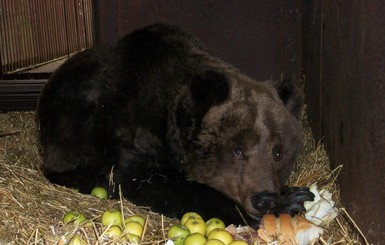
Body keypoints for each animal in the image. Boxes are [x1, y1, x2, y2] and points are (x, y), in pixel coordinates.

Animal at [36, 23, 312, 227]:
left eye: (278, 153)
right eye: (237, 150)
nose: (264, 199)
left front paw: (295, 195)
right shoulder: (135, 136)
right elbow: (150, 182)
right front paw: (289, 202)